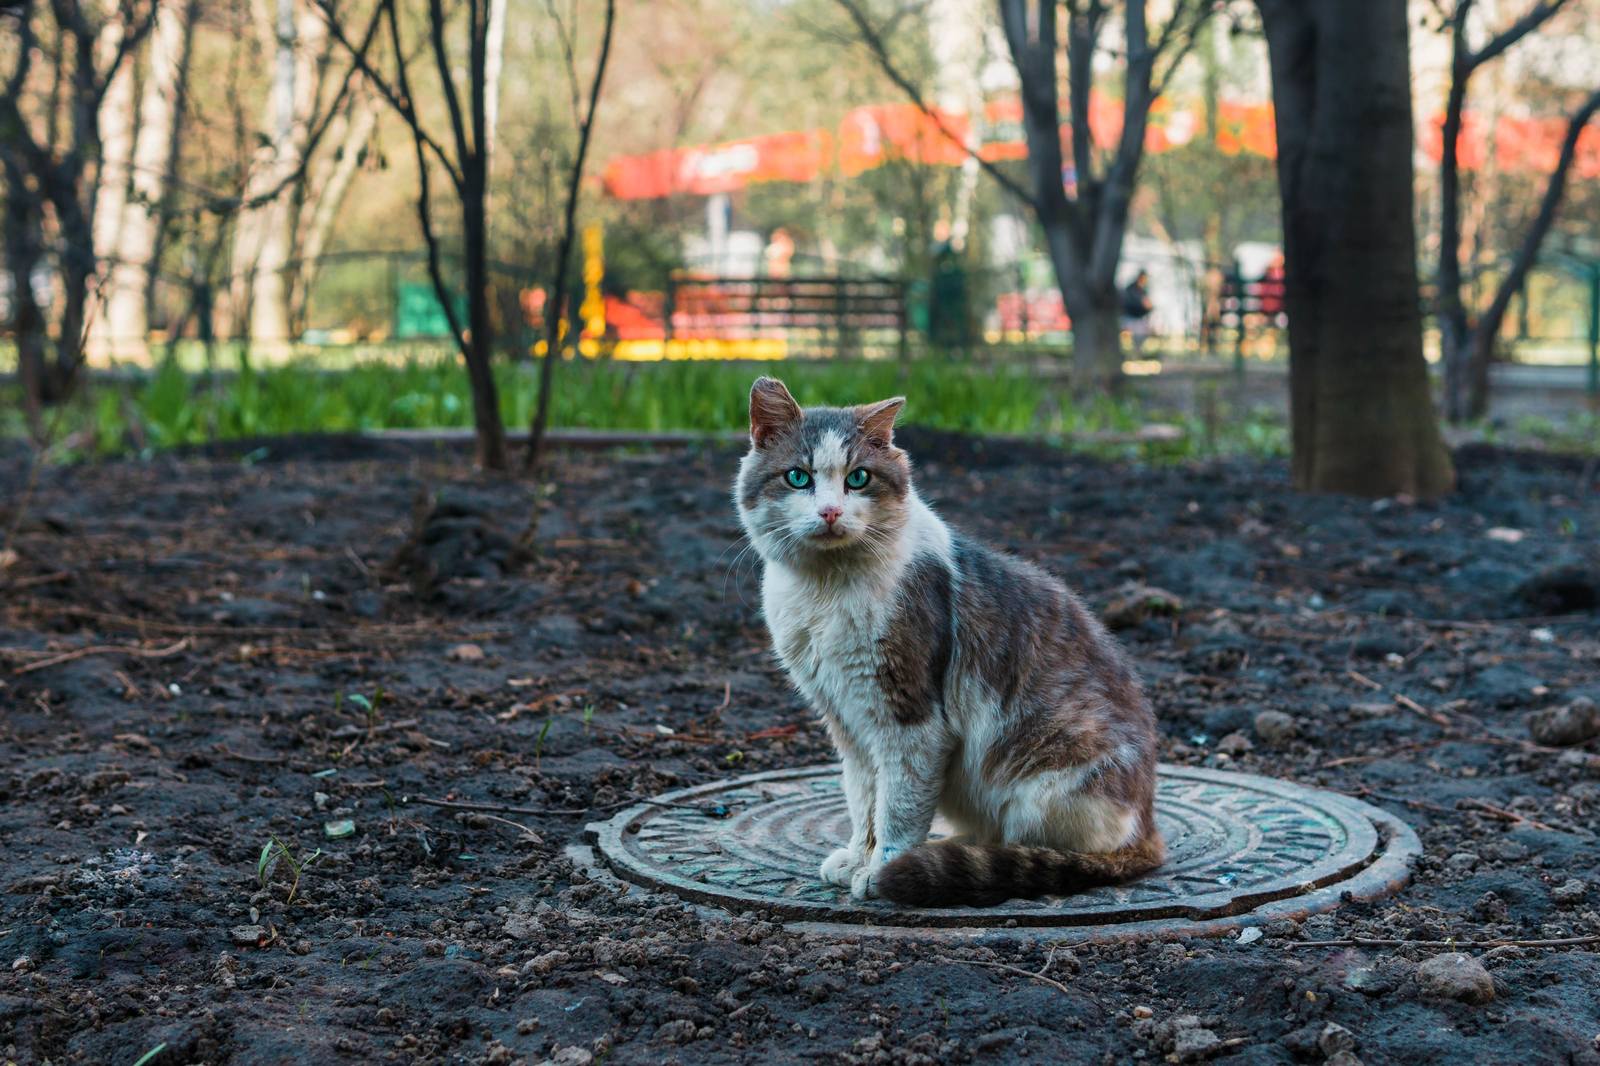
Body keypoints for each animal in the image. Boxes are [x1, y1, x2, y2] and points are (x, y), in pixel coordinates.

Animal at [736, 377, 1164, 902]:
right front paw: (858, 857)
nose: (831, 511)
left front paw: (882, 869)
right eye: (798, 478)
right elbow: (863, 802)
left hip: (1042, 781)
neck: (825, 588)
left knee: (1042, 847)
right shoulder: (847, 724)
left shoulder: (911, 721)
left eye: (858, 479)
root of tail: (1147, 827)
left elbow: (897, 810)